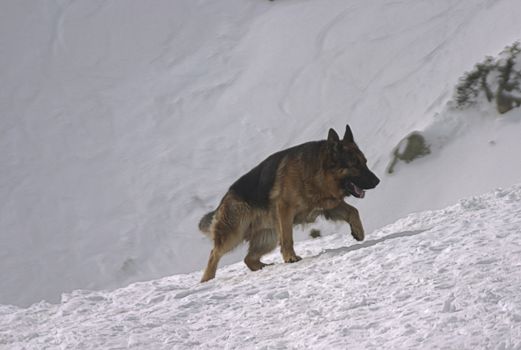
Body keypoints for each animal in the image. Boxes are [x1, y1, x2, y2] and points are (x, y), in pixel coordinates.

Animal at [198, 125, 378, 282]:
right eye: (355, 165)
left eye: (365, 162)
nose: (378, 181)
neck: (316, 172)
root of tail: (225, 197)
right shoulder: (285, 210)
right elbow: (287, 237)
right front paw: (290, 257)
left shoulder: (328, 206)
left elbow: (353, 211)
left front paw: (358, 232)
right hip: (234, 233)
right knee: (214, 253)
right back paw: (207, 280)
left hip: (268, 238)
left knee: (248, 259)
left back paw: (264, 267)